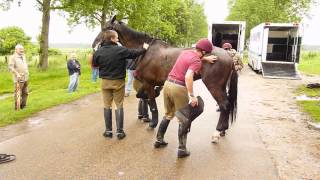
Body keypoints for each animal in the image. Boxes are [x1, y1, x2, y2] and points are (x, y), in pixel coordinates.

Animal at [92, 15, 238, 141]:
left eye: (106, 28)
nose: (94, 45)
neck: (146, 52)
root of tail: (228, 56)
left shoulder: (148, 83)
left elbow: (152, 104)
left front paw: (153, 123)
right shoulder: (147, 84)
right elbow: (142, 96)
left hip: (214, 86)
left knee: (224, 105)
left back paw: (217, 132)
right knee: (227, 105)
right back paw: (223, 130)